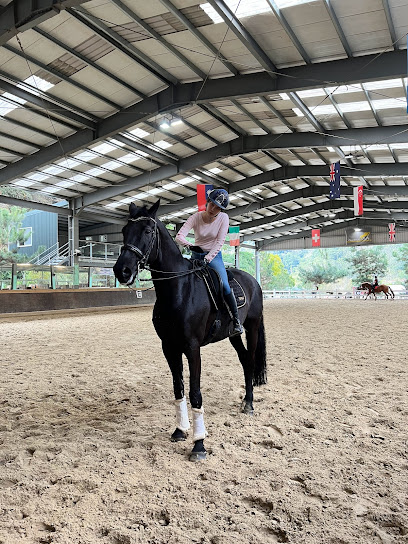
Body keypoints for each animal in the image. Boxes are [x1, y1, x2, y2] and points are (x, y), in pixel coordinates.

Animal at [114, 202, 268, 462]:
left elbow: (195, 392)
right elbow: (179, 389)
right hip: (233, 335)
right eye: (124, 230)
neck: (178, 290)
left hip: (252, 327)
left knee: (251, 359)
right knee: (245, 359)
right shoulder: (169, 347)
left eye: (147, 231)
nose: (122, 271)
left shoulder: (192, 348)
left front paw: (199, 445)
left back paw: (249, 404)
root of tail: (253, 281)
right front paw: (180, 430)